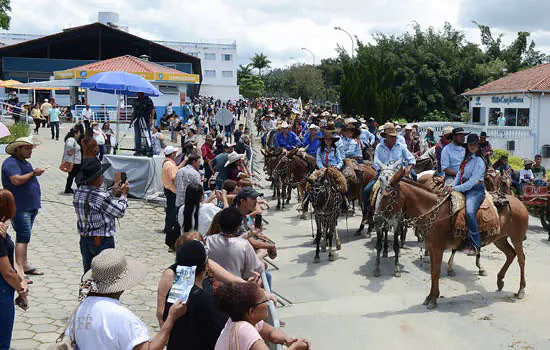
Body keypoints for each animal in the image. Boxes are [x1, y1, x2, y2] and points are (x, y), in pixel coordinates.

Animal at [378, 166, 528, 308]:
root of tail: (519, 203)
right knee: (510, 254)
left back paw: (521, 290)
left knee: (521, 258)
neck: (434, 210)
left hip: (516, 238)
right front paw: (430, 297)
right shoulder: (432, 248)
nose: (377, 217)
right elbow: (433, 271)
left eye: (386, 196)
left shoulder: (437, 248)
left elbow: (436, 272)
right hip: (500, 239)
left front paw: (433, 299)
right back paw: (500, 280)